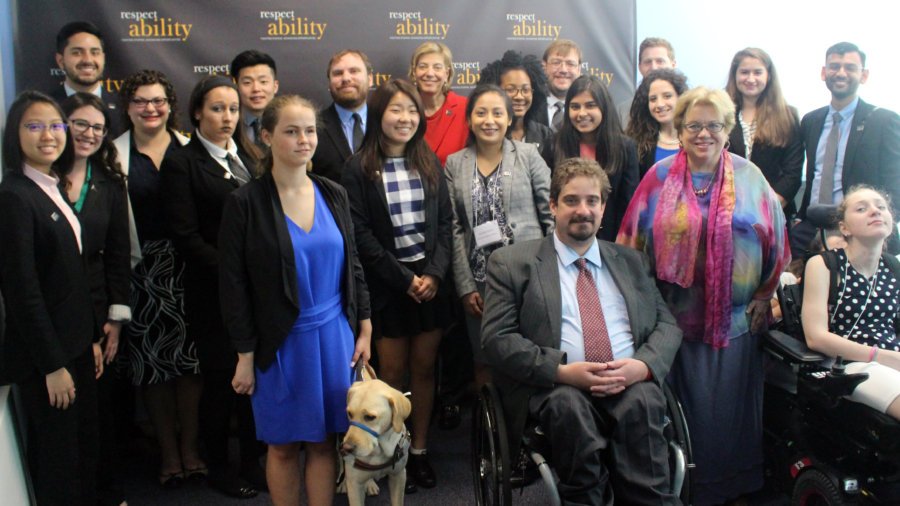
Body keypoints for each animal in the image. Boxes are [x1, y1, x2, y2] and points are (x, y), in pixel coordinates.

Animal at [342, 366, 412, 506]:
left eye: (370, 417)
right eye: (349, 414)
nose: (346, 448)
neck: (379, 450)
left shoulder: (399, 475)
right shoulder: (354, 485)